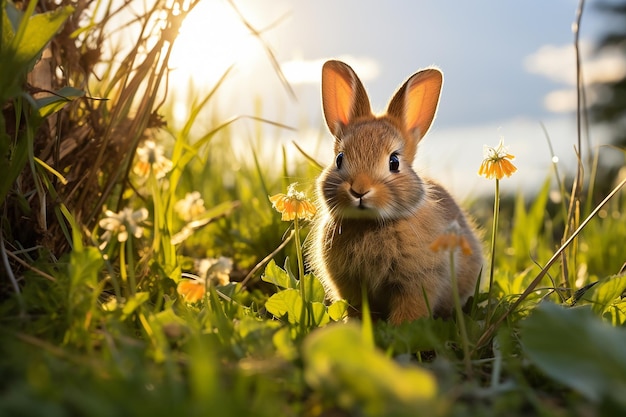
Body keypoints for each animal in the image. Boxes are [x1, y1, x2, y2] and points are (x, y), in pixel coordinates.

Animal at [308, 59, 482, 324]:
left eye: (394, 162)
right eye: (339, 159)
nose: (359, 190)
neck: (369, 225)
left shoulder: (416, 282)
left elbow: (410, 310)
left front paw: (400, 328)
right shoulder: (349, 285)